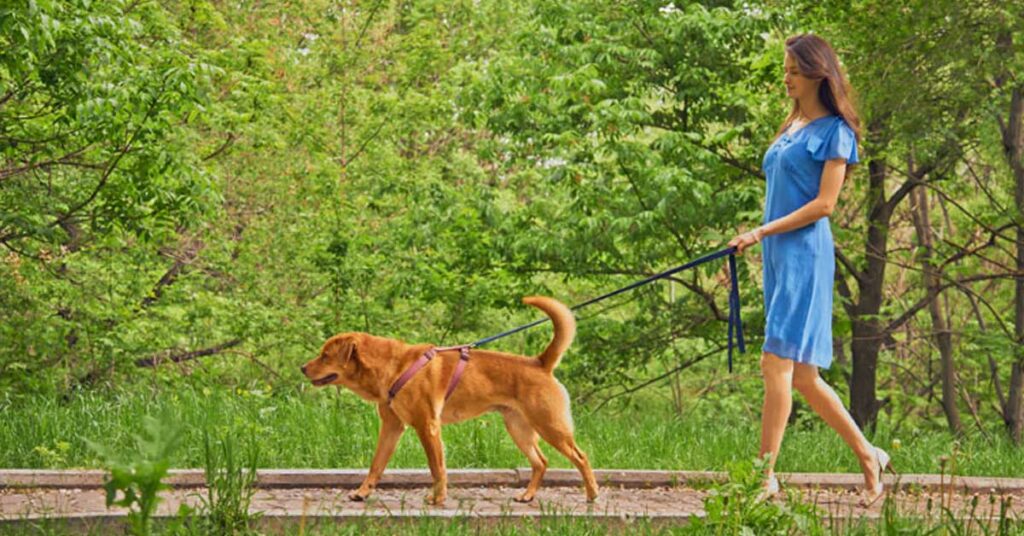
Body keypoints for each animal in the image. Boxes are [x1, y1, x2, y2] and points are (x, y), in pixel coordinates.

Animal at [299, 297, 598, 508]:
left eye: (325, 355)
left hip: (550, 426)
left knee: (581, 456)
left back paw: (592, 493)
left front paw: (437, 499)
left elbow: (437, 468)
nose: (302, 368)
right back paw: (527, 496)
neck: (393, 368)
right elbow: (376, 465)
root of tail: (540, 362)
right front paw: (362, 493)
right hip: (519, 429)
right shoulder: (392, 427)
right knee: (541, 462)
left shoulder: (427, 426)